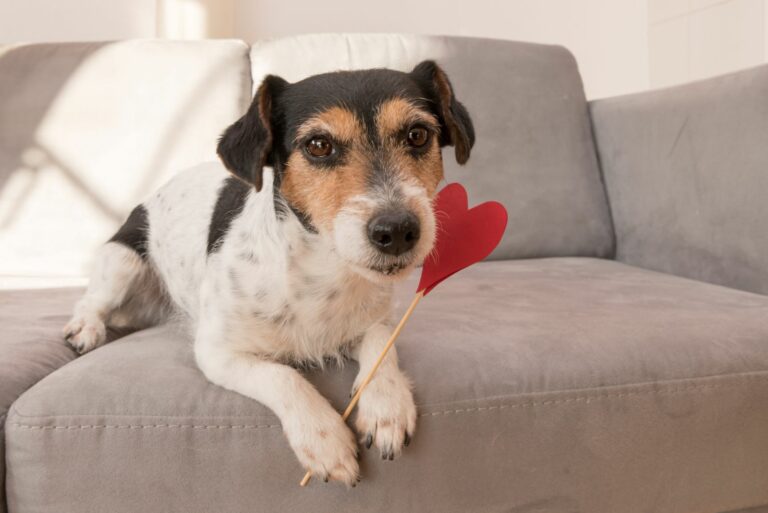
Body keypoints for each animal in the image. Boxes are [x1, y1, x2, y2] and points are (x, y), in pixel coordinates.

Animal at [64, 60, 474, 484]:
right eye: (318, 145)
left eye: (418, 135)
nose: (396, 231)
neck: (321, 272)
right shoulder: (218, 354)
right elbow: (283, 376)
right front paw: (324, 440)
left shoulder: (375, 321)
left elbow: (381, 345)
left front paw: (386, 406)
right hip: (122, 261)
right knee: (91, 300)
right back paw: (86, 329)